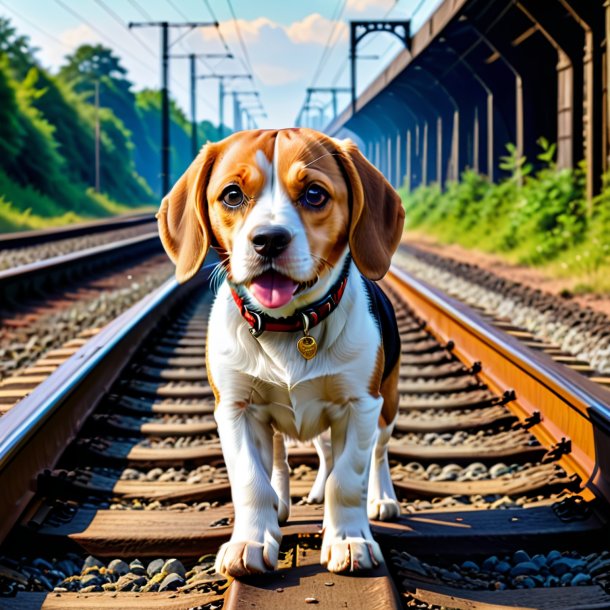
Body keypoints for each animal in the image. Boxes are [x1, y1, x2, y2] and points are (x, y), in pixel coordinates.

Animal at [157, 128, 404, 576]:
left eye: (314, 194)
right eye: (232, 195)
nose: (268, 239)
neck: (289, 327)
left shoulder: (360, 405)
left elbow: (348, 478)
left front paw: (349, 540)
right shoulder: (235, 409)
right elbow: (250, 481)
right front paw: (252, 541)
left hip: (387, 404)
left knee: (375, 454)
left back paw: (381, 499)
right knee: (290, 458)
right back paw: (285, 504)